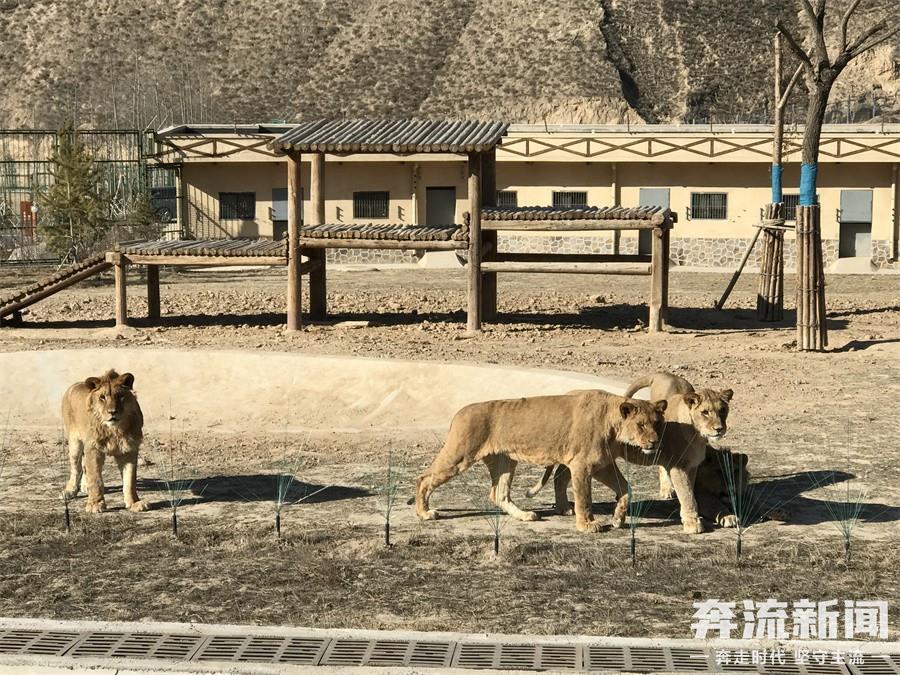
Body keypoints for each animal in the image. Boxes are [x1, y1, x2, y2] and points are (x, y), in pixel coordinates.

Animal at [61, 370, 147, 512]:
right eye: (102, 397)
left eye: (120, 396)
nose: (112, 412)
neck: (114, 430)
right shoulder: (94, 449)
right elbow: (96, 479)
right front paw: (95, 504)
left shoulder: (129, 450)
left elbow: (130, 480)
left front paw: (135, 503)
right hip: (74, 442)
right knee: (76, 467)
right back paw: (69, 491)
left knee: (84, 465)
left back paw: (85, 486)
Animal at [414, 390, 668, 532]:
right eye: (641, 425)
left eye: (657, 423)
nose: (655, 442)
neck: (613, 425)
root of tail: (459, 412)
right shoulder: (582, 464)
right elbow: (584, 498)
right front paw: (587, 525)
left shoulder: (602, 465)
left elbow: (626, 489)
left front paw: (618, 519)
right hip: (460, 455)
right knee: (423, 478)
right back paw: (425, 513)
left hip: (505, 461)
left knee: (498, 494)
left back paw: (525, 515)